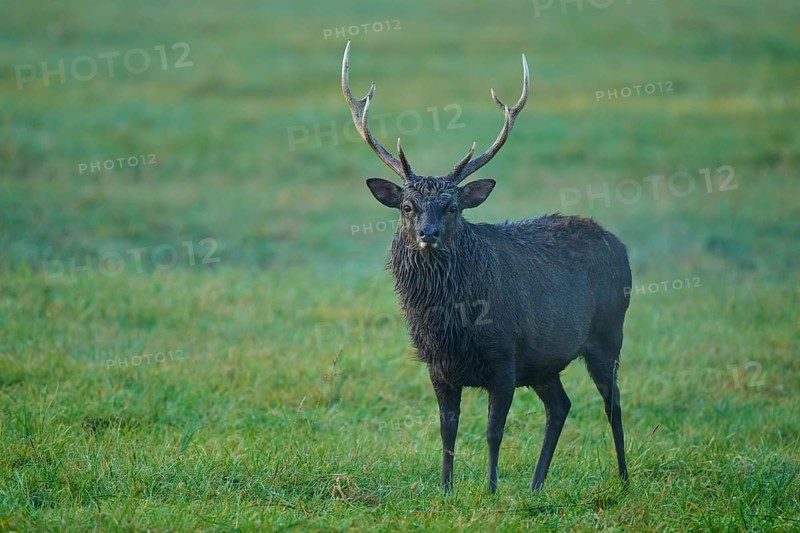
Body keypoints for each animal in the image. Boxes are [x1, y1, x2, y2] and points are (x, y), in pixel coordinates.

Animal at [341, 41, 632, 493]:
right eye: (407, 206)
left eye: (453, 206)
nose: (428, 233)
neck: (452, 320)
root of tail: (620, 246)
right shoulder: (438, 365)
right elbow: (447, 430)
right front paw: (446, 489)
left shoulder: (505, 357)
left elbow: (494, 431)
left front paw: (491, 488)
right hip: (545, 360)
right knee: (561, 405)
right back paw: (536, 484)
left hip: (607, 332)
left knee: (613, 402)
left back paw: (622, 477)